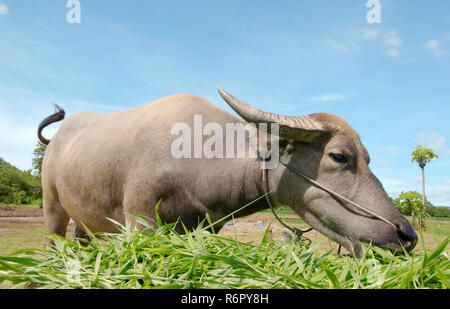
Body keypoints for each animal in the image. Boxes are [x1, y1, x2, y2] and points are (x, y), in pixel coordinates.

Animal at [37, 88, 418, 256]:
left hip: (85, 219)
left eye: (369, 158)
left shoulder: (206, 227)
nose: (407, 234)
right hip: (52, 206)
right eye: (339, 156)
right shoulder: (139, 219)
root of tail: (56, 140)